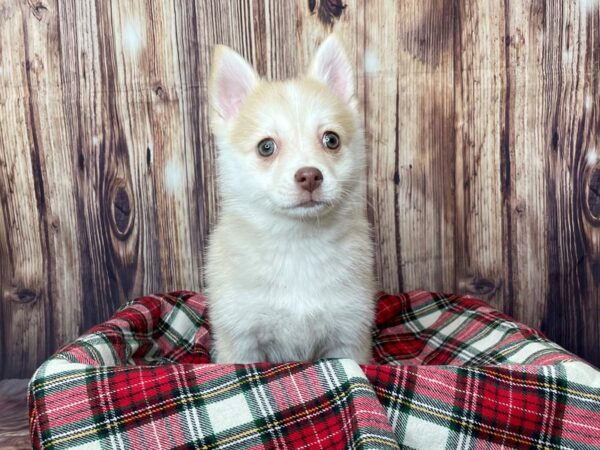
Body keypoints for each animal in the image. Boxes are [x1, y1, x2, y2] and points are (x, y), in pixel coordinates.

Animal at [206, 36, 376, 366]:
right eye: (266, 147)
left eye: (331, 140)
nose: (310, 175)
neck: (298, 242)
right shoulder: (242, 341)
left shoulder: (349, 339)